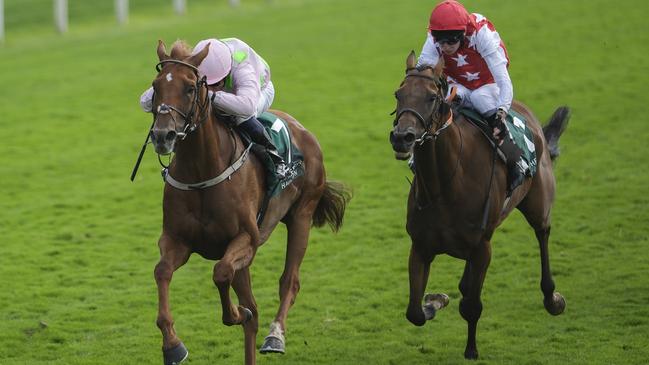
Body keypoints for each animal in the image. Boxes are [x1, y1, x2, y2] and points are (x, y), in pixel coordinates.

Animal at [146, 40, 350, 364]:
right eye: (155, 86)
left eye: (190, 87)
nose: (163, 135)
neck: (202, 172)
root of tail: (302, 129)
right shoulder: (176, 241)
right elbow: (162, 271)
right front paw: (173, 345)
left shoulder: (247, 240)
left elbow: (221, 274)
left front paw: (234, 313)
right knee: (252, 310)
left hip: (302, 215)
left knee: (289, 281)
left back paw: (275, 335)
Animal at [390, 52, 568, 358]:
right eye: (398, 94)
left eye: (431, 97)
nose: (402, 137)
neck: (446, 184)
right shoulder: (421, 246)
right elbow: (415, 312)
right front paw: (435, 300)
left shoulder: (483, 247)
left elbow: (472, 307)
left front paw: (471, 350)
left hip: (538, 202)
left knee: (542, 233)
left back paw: (552, 298)